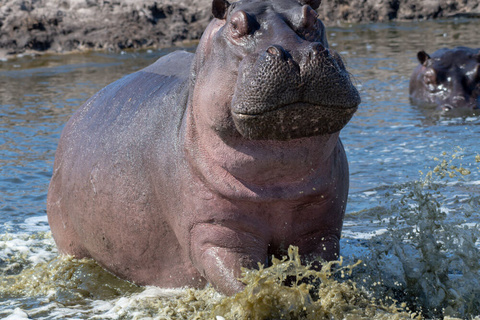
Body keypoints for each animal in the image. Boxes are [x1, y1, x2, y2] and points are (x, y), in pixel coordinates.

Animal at [47, 0, 360, 296]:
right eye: (235, 25)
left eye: (313, 17)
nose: (298, 55)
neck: (279, 178)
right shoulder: (214, 232)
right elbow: (242, 281)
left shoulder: (321, 228)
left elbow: (316, 273)